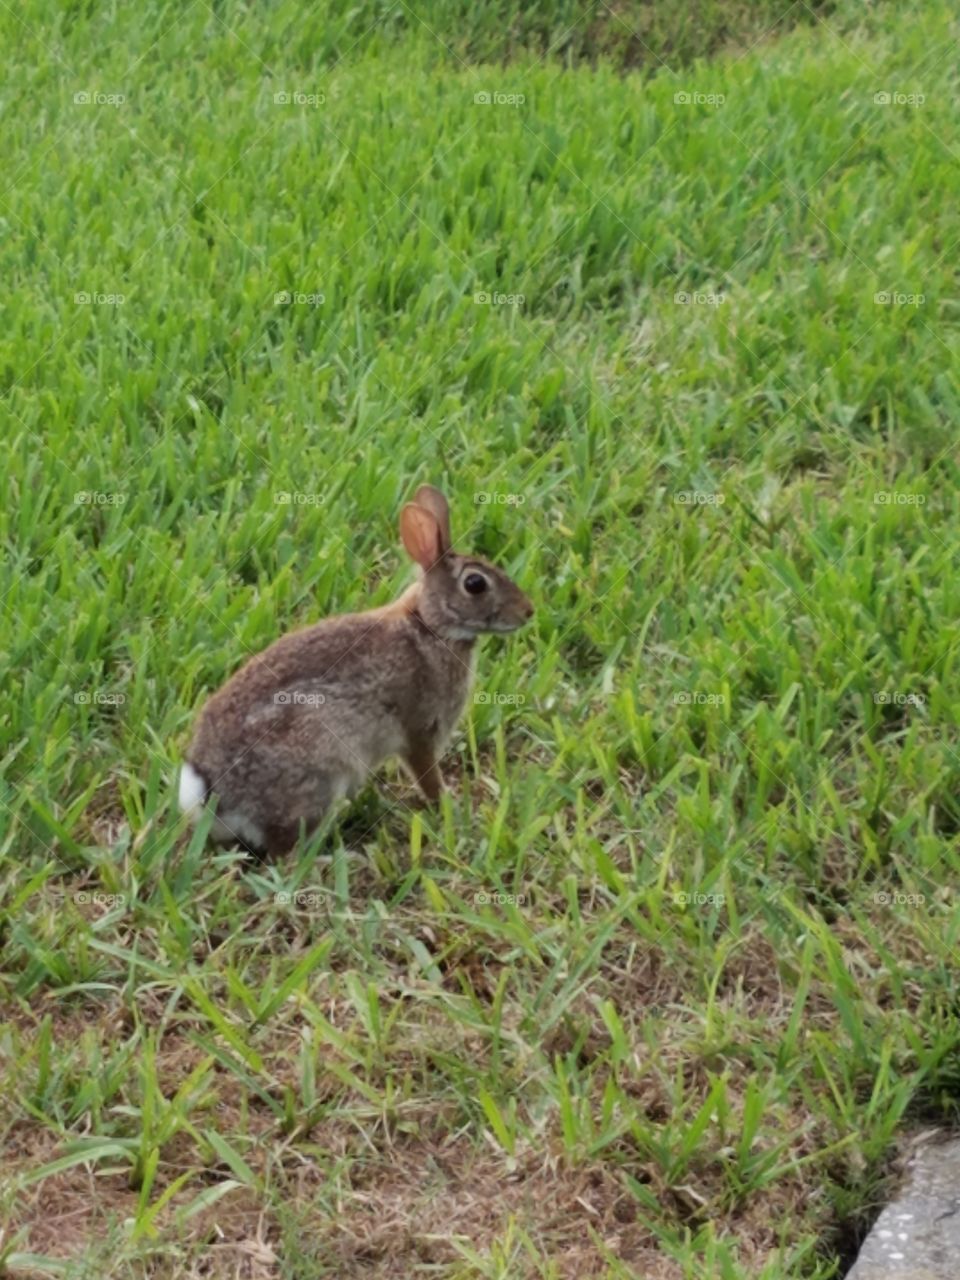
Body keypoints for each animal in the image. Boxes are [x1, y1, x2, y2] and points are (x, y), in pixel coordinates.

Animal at [178, 485, 533, 854]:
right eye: (475, 584)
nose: (528, 611)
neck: (430, 626)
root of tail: (214, 796)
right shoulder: (419, 731)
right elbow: (426, 773)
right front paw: (448, 805)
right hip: (320, 770)